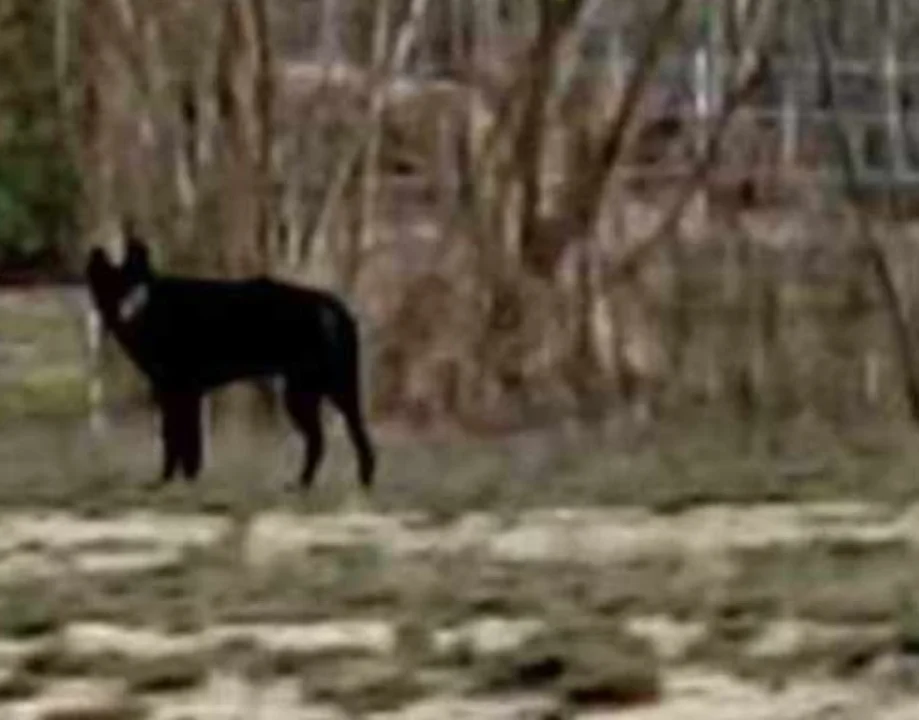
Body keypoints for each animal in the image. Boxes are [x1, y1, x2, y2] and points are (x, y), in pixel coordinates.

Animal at [84, 238, 376, 490]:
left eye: (136, 288)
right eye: (114, 290)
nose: (128, 312)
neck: (153, 308)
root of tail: (333, 305)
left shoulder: (181, 391)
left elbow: (181, 440)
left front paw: (174, 482)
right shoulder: (176, 392)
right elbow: (181, 440)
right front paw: (179, 481)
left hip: (320, 390)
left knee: (340, 436)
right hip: (312, 392)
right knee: (331, 438)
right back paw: (311, 485)